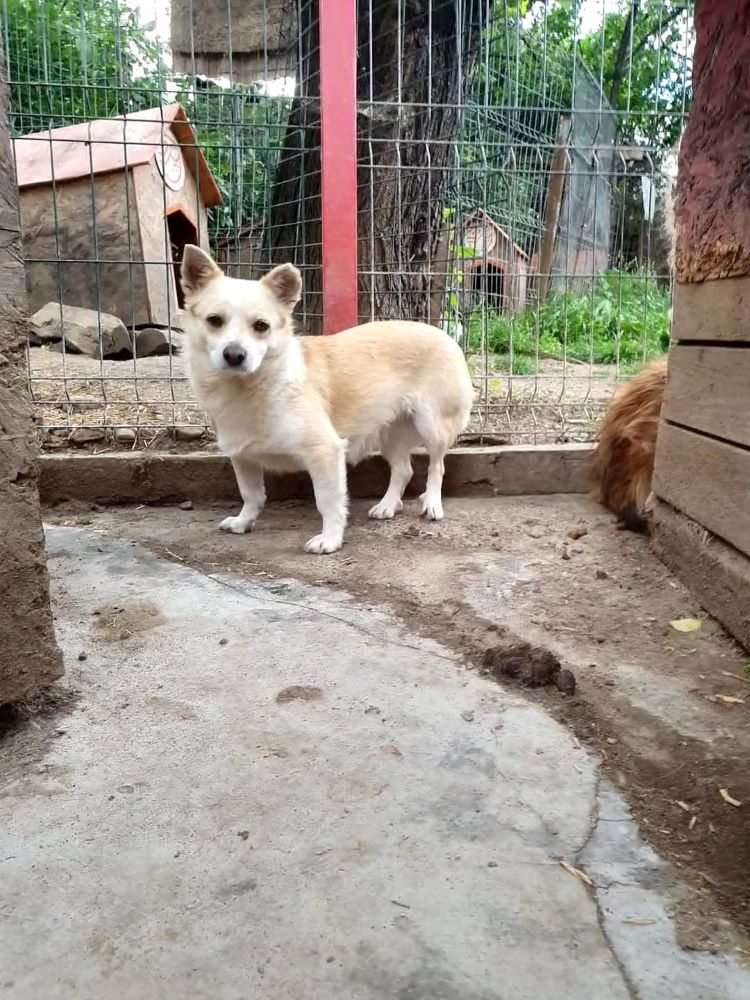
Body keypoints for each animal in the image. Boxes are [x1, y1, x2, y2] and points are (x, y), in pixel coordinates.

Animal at [181, 244, 472, 556]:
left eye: (261, 326)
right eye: (214, 321)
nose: (234, 354)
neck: (249, 389)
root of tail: (443, 334)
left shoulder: (325, 453)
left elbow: (328, 502)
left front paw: (330, 539)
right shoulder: (242, 456)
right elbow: (251, 494)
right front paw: (243, 521)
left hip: (433, 427)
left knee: (436, 466)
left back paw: (432, 503)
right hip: (388, 434)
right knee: (404, 470)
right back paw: (387, 505)